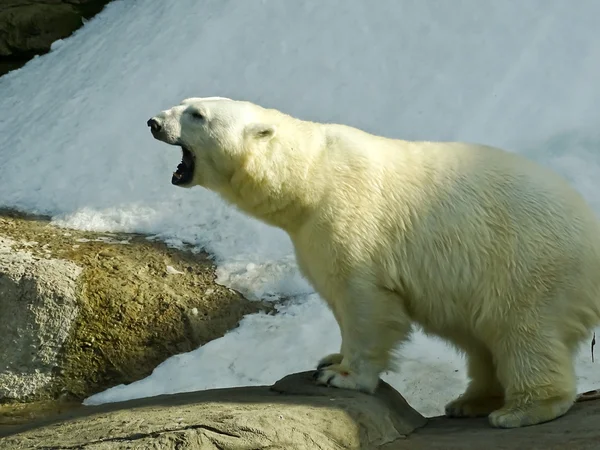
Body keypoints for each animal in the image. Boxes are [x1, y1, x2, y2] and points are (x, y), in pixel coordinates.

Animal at [148, 96, 600, 428]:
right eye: (184, 101)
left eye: (197, 114)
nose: (153, 121)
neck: (310, 178)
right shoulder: (310, 234)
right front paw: (330, 359)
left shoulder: (351, 218)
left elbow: (363, 302)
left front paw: (342, 375)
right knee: (481, 339)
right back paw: (469, 401)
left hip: (527, 263)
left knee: (523, 332)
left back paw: (519, 410)